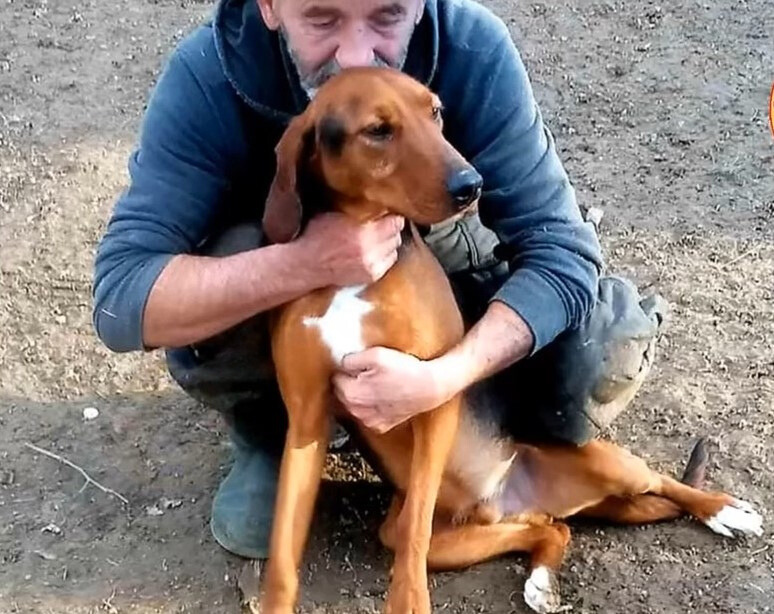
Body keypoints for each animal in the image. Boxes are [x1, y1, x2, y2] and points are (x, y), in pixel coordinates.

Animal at [256, 67, 764, 614]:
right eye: (377, 129)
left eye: (435, 111)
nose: (471, 184)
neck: (358, 269)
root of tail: (512, 498)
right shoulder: (306, 420)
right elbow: (283, 556)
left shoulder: (429, 396)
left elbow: (412, 543)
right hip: (461, 534)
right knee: (550, 528)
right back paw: (541, 576)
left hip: (609, 463)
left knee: (666, 482)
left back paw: (724, 509)